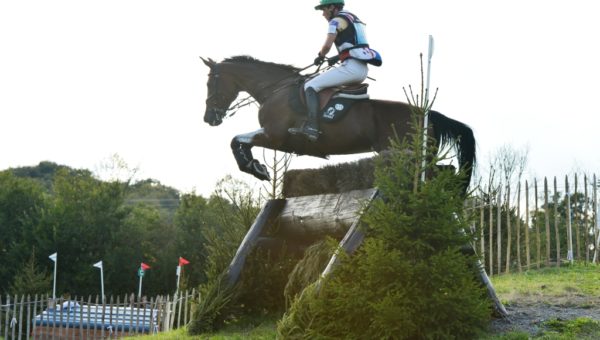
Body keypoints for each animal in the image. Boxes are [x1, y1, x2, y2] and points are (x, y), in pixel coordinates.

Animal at [202, 54, 478, 190]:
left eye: (210, 82)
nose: (209, 118)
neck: (275, 89)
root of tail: (428, 114)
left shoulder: (274, 135)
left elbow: (236, 140)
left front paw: (255, 168)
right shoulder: (273, 136)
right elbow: (239, 141)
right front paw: (257, 166)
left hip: (409, 154)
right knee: (445, 172)